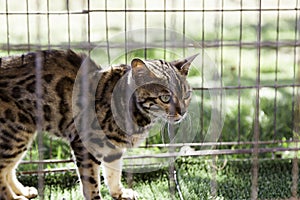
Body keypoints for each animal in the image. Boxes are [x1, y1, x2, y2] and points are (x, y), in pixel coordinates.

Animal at [0, 50, 196, 200]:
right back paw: (13, 197)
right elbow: (91, 182)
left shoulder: (114, 148)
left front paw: (119, 193)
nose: (183, 112)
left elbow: (113, 172)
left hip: (21, 134)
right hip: (15, 133)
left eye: (186, 95)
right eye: (165, 97)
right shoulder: (84, 143)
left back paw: (22, 191)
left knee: (9, 168)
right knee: (2, 170)